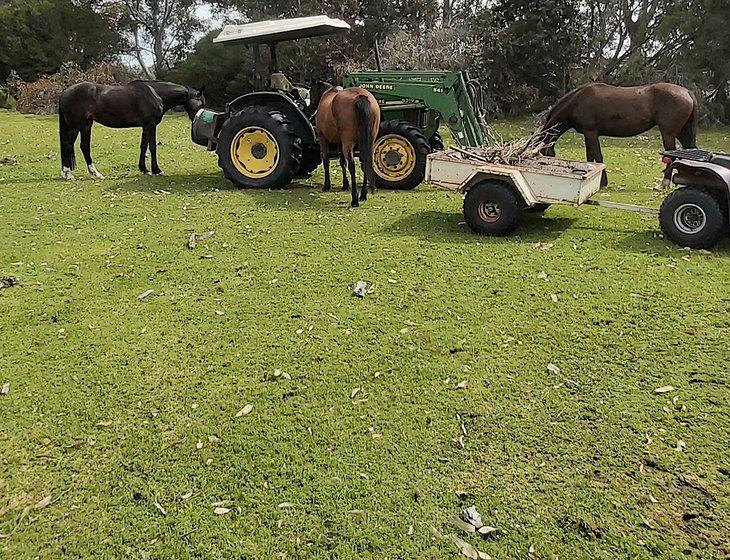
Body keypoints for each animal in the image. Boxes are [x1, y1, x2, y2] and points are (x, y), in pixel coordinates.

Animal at [57, 79, 203, 178]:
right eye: (200, 103)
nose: (198, 118)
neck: (155, 93)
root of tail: (65, 93)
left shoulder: (146, 126)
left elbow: (143, 146)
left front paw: (144, 169)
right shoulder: (151, 125)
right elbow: (152, 147)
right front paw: (157, 170)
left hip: (86, 125)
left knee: (84, 146)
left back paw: (95, 173)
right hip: (75, 126)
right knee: (67, 144)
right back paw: (68, 174)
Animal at [536, 82, 696, 188]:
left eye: (542, 155)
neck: (577, 102)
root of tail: (687, 92)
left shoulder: (591, 132)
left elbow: (597, 156)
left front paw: (603, 182)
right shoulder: (588, 135)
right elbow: (590, 157)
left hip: (668, 133)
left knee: (671, 155)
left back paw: (664, 184)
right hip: (680, 132)